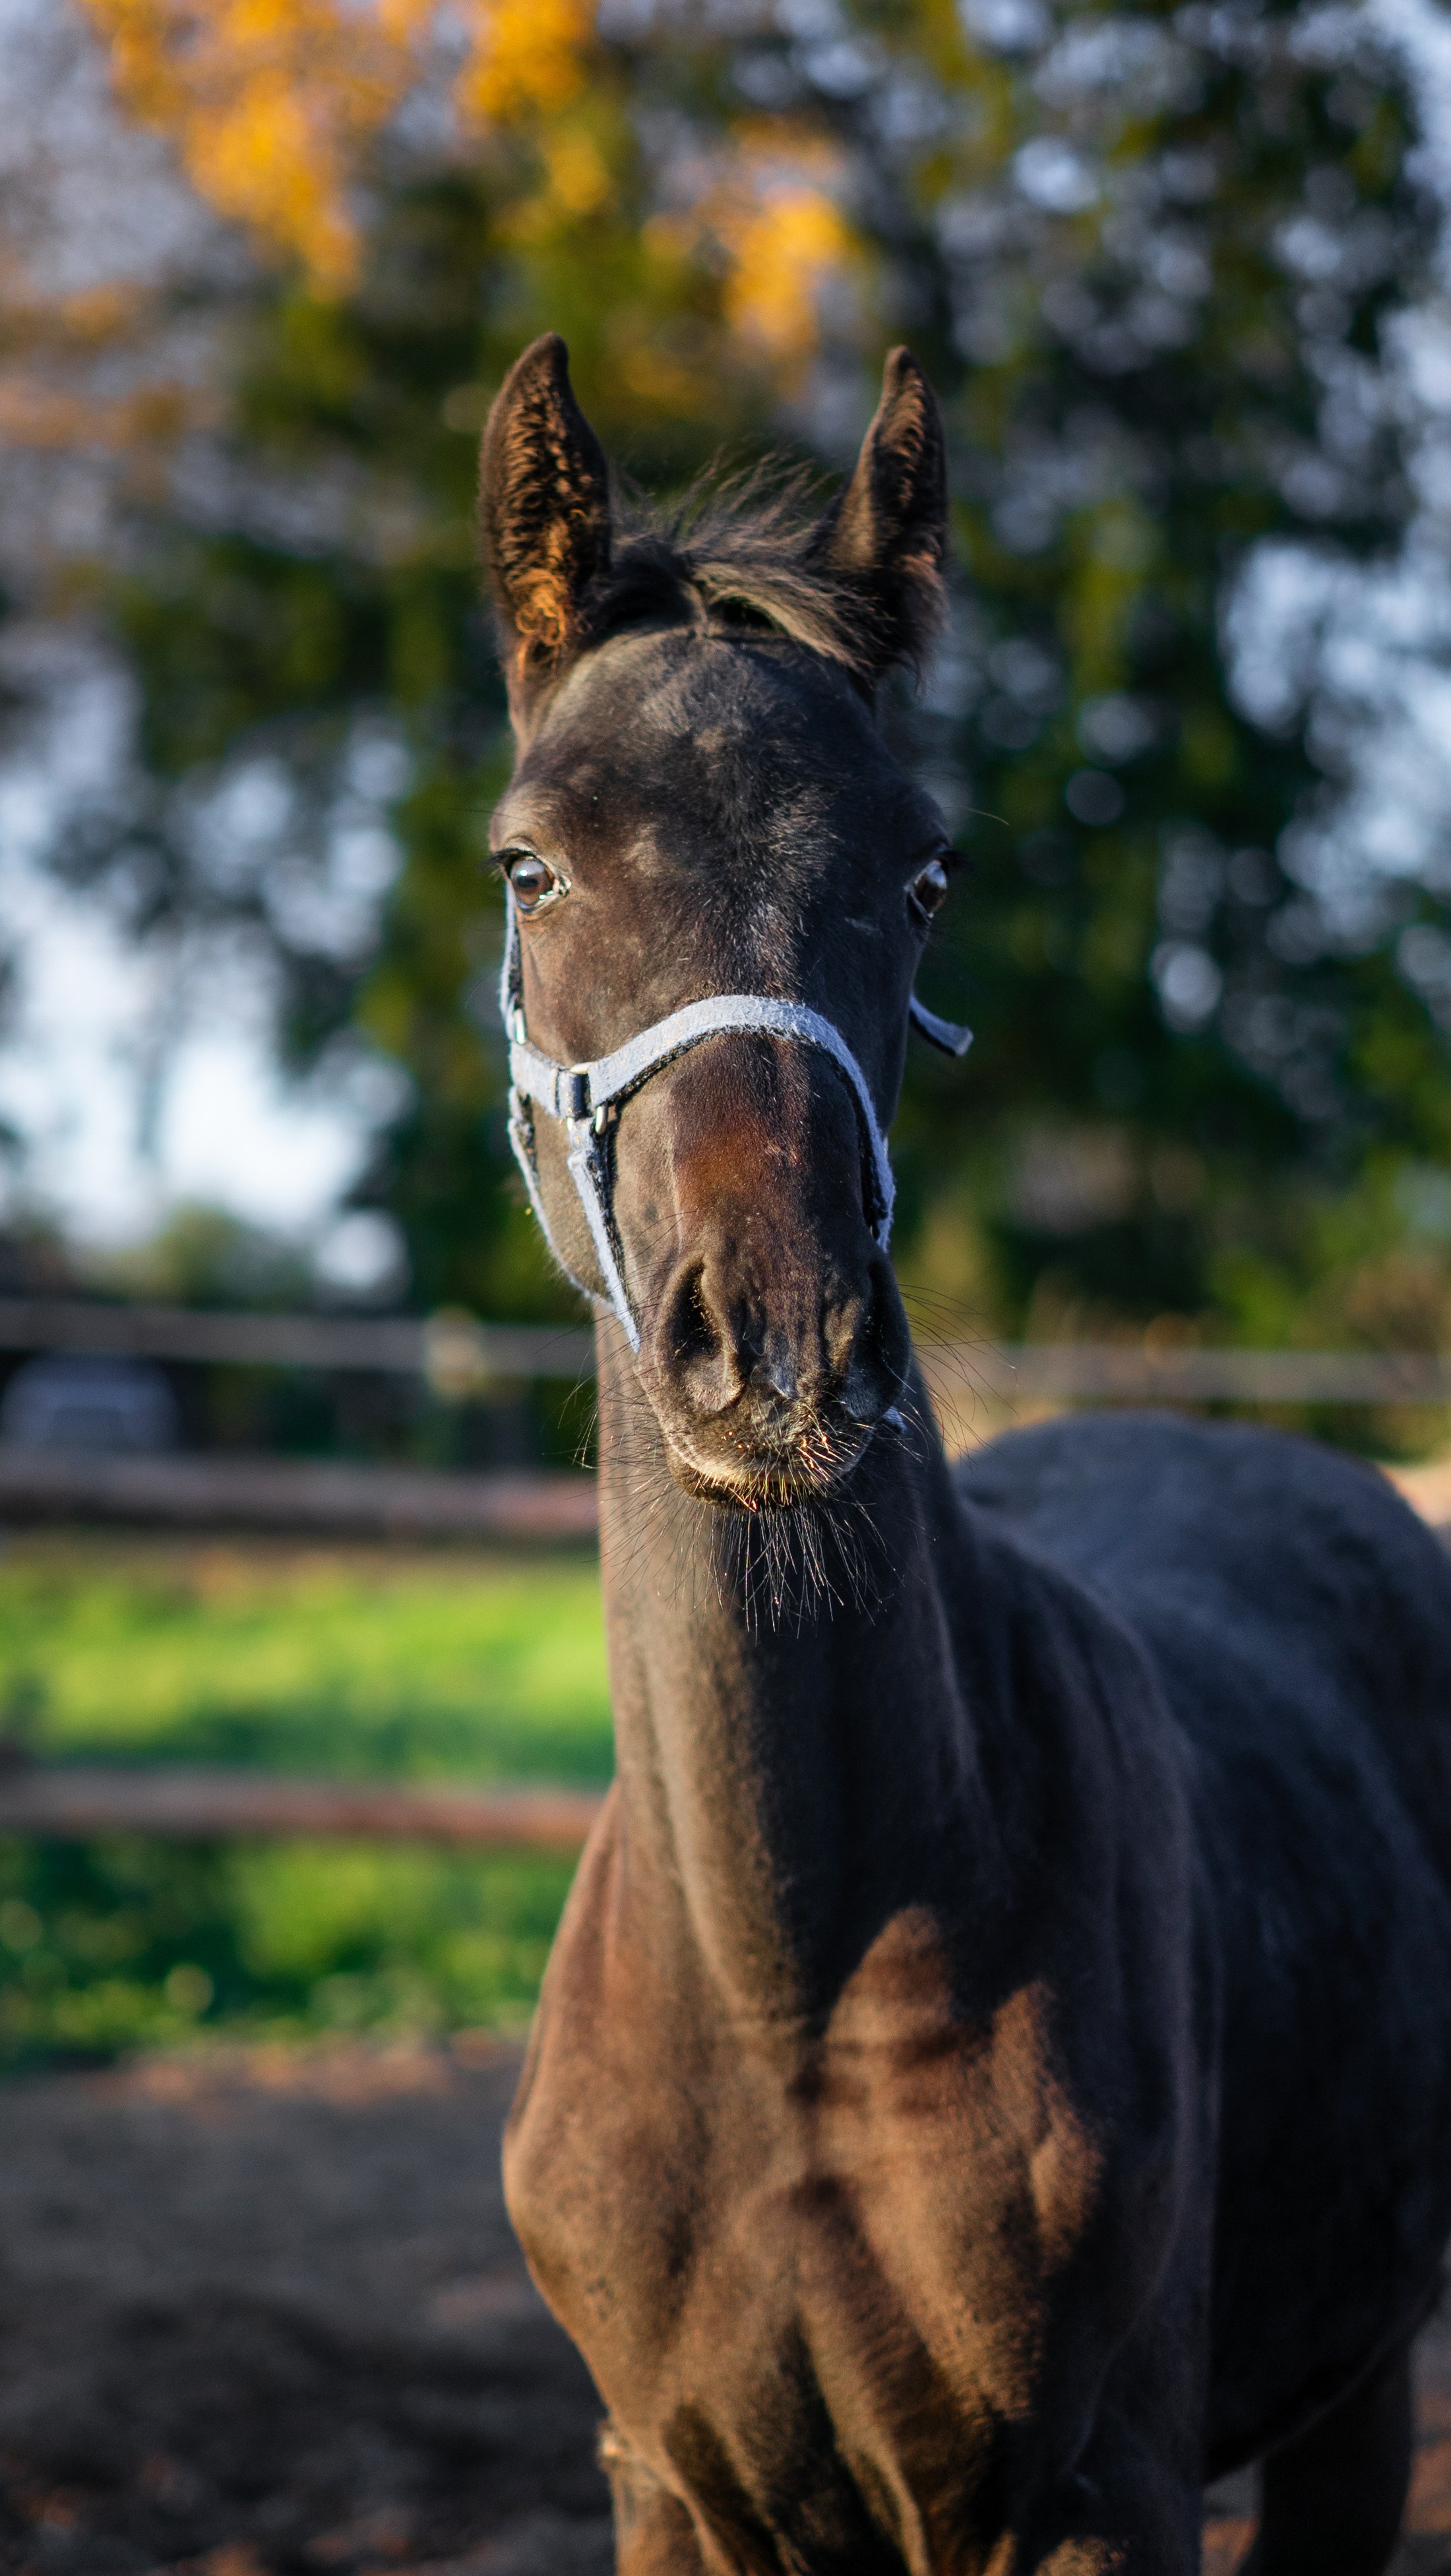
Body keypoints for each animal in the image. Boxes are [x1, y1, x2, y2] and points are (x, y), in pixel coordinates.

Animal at [480, 332, 1451, 2575]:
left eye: (922, 871)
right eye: (529, 863)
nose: (776, 1350)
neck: (790, 1970)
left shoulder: (1097, 2486)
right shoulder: (671, 2487)